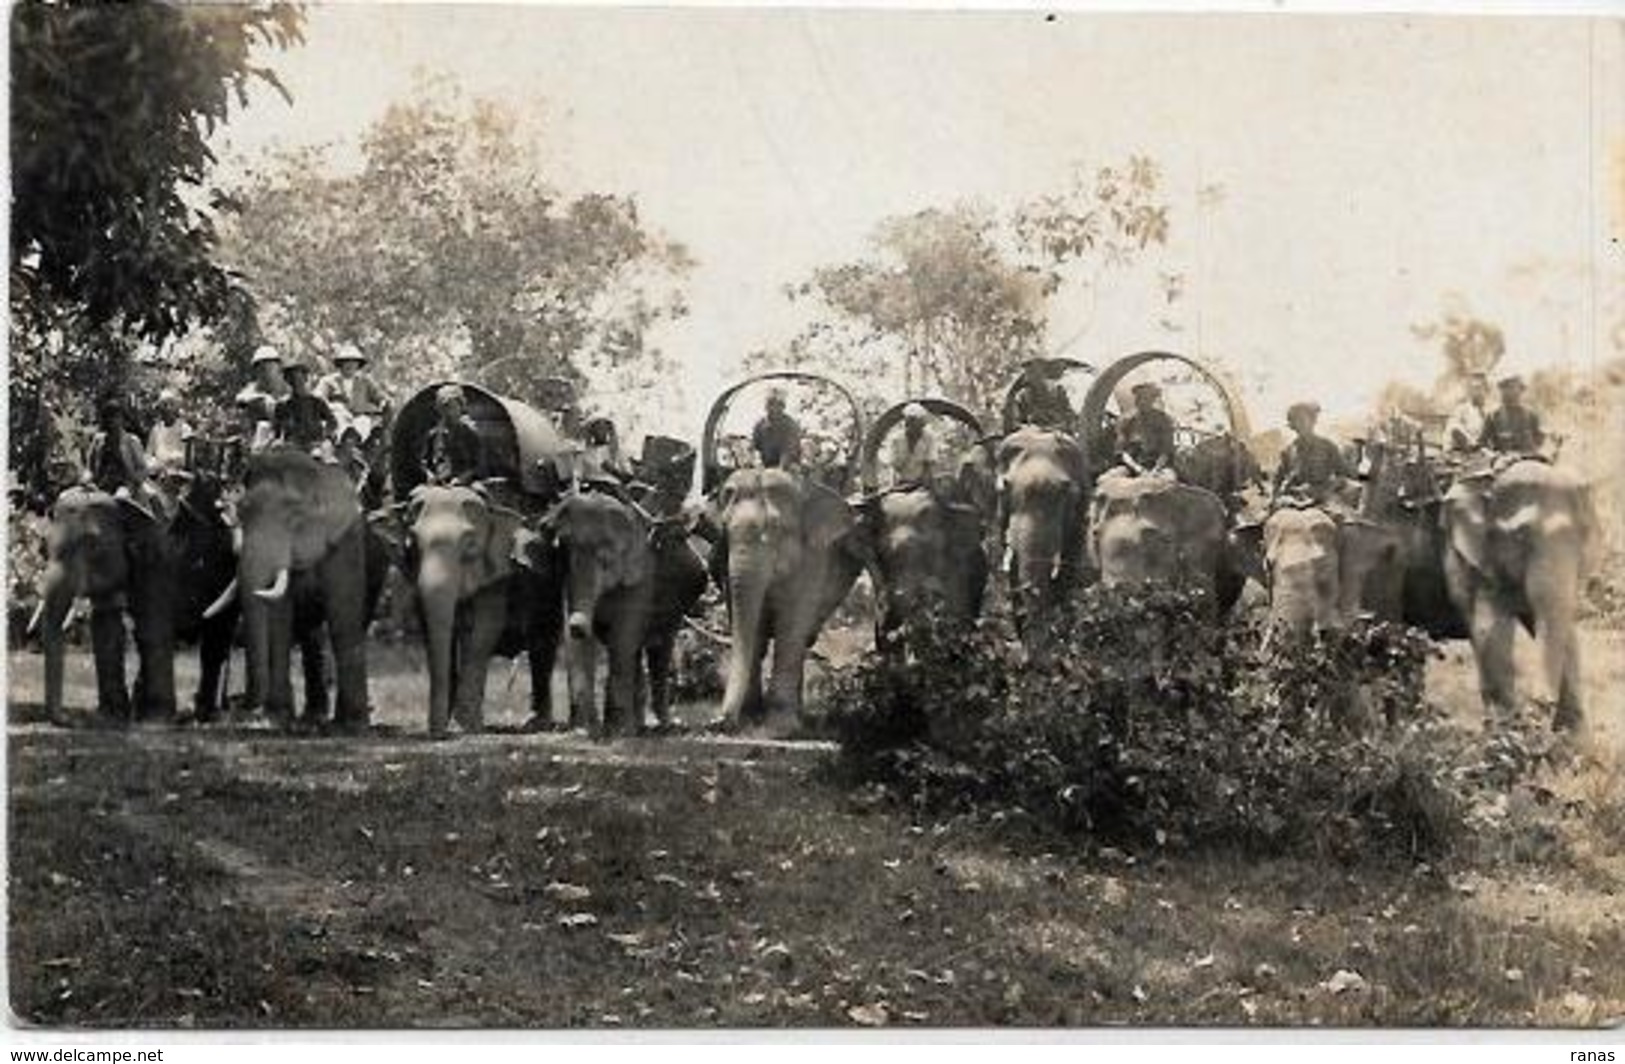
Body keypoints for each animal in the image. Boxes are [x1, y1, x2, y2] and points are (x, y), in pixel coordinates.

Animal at [235, 448, 373, 734]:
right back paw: (310, 719)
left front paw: (355, 726)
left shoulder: (345, 541)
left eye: (294, 517)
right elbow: (280, 620)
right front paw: (277, 719)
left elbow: (343, 616)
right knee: (309, 636)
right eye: (241, 513)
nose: (246, 709)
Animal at [399, 477, 565, 737]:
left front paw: (467, 726)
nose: (437, 734)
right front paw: (456, 723)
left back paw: (536, 724)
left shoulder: (498, 578)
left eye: (470, 545)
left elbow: (482, 632)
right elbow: (433, 633)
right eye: (412, 544)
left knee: (542, 648)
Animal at [539, 490, 705, 734]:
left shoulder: (641, 577)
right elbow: (584, 643)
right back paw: (636, 726)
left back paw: (663, 727)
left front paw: (618, 732)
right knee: (636, 653)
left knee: (659, 649)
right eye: (562, 557)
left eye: (605, 560)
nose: (577, 625)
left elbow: (622, 638)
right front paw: (588, 730)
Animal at [711, 471, 864, 727]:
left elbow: (791, 625)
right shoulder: (724, 560)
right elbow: (752, 628)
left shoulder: (813, 558)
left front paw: (780, 725)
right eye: (724, 527)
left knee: (802, 639)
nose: (719, 722)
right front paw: (750, 715)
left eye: (776, 527)